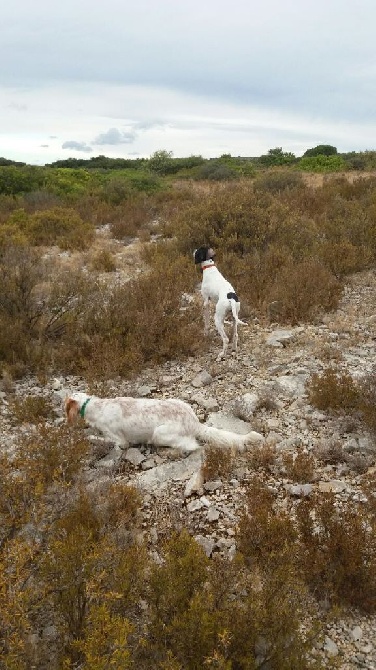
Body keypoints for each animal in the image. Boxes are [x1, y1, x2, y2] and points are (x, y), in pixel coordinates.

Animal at [64, 394, 264, 456]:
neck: (95, 407)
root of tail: (194, 423)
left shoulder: (120, 441)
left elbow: (101, 439)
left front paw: (88, 437)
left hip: (159, 434)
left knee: (192, 446)